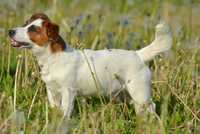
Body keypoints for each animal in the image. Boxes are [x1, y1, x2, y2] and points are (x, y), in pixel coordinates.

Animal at [8, 13, 173, 118]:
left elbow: (65, 112)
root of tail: (138, 55)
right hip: (130, 95)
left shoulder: (68, 92)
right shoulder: (52, 91)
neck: (54, 58)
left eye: (33, 29)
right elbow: (55, 109)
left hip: (140, 93)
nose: (10, 31)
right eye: (26, 24)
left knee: (152, 107)